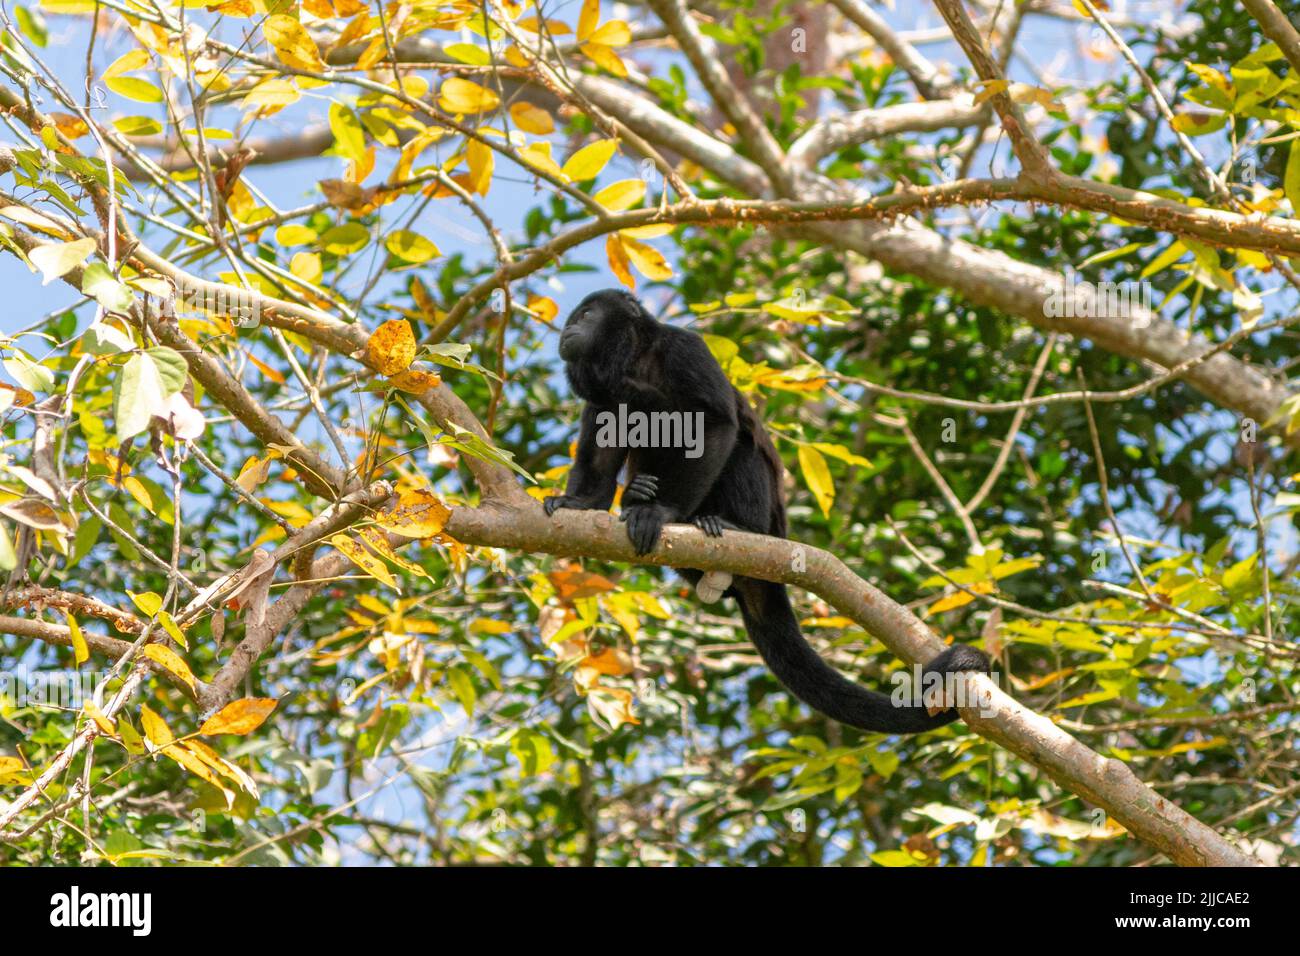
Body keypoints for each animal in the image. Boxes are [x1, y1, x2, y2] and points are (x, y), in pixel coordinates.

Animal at [544, 289, 991, 734]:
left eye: (586, 314)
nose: (566, 329)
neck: (633, 362)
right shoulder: (602, 396)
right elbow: (601, 452)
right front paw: (579, 503)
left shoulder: (686, 349)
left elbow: (714, 423)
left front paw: (662, 511)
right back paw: (639, 495)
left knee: (742, 445)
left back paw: (727, 523)